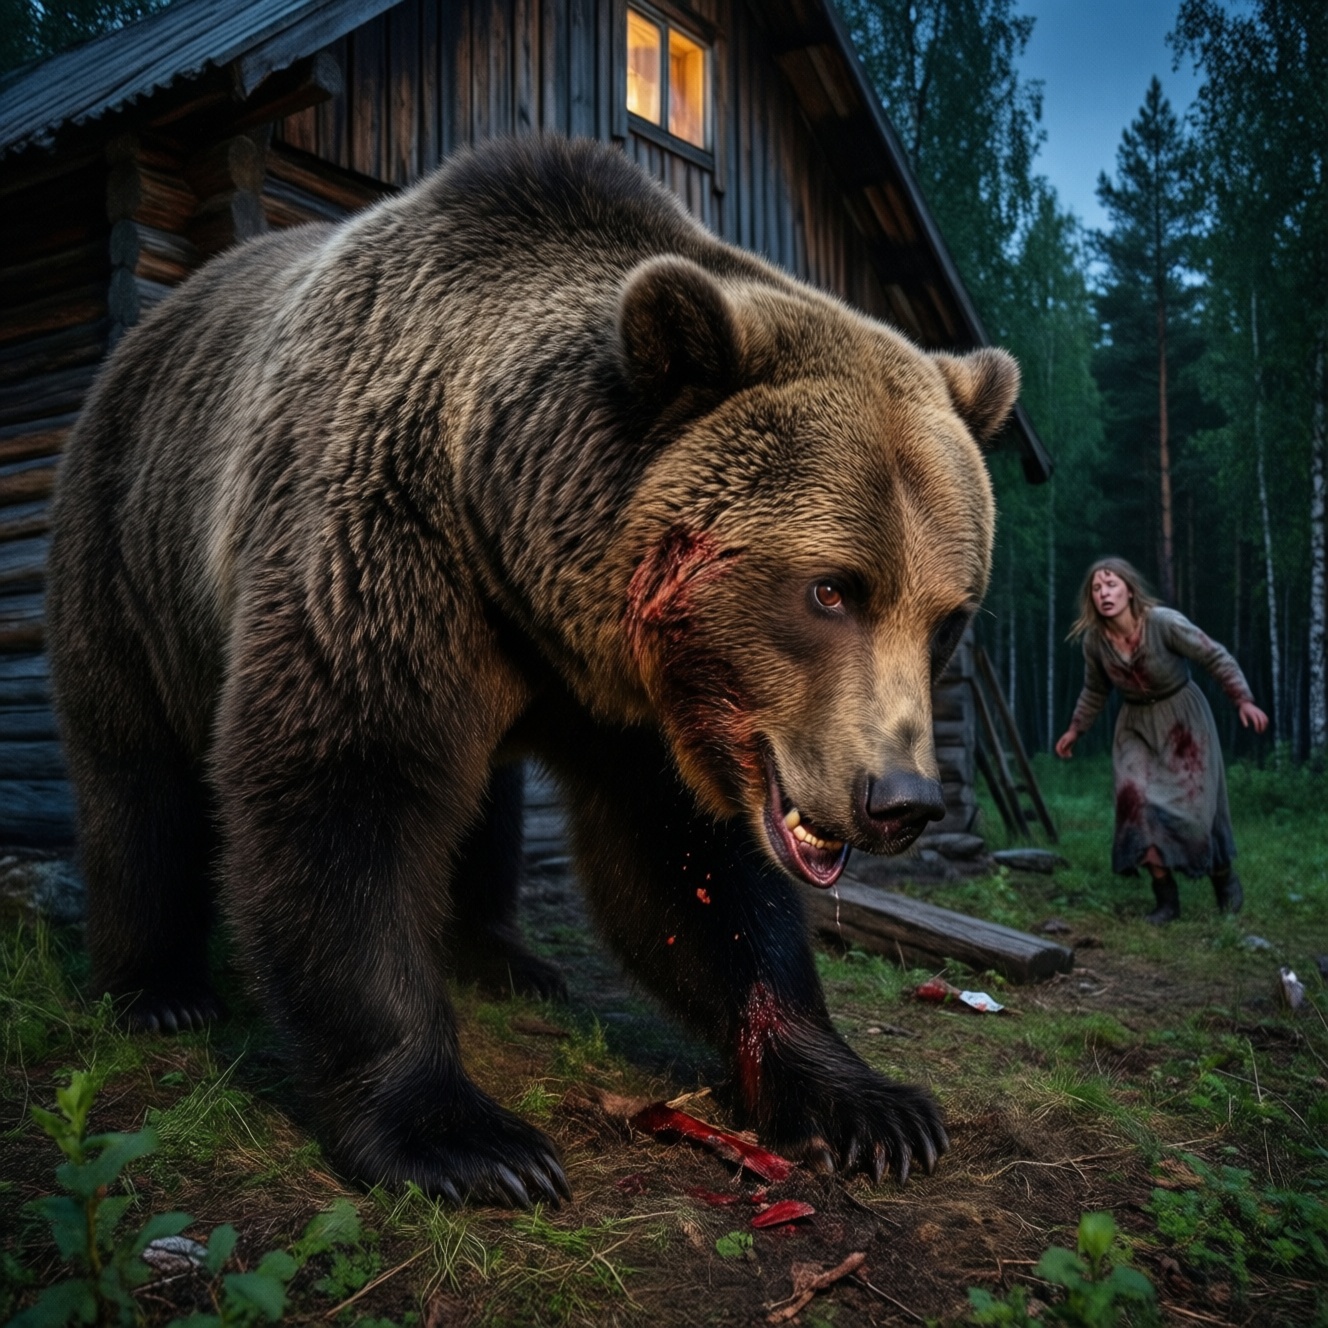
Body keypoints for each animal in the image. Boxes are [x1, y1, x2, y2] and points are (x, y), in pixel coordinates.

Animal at [48, 135, 1018, 1208]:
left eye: (950, 616)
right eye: (832, 590)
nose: (900, 799)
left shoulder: (645, 702)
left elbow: (692, 870)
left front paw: (869, 1105)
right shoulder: (380, 551)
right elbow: (344, 789)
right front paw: (467, 1140)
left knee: (487, 803)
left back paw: (501, 956)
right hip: (129, 549)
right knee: (134, 773)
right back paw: (157, 989)